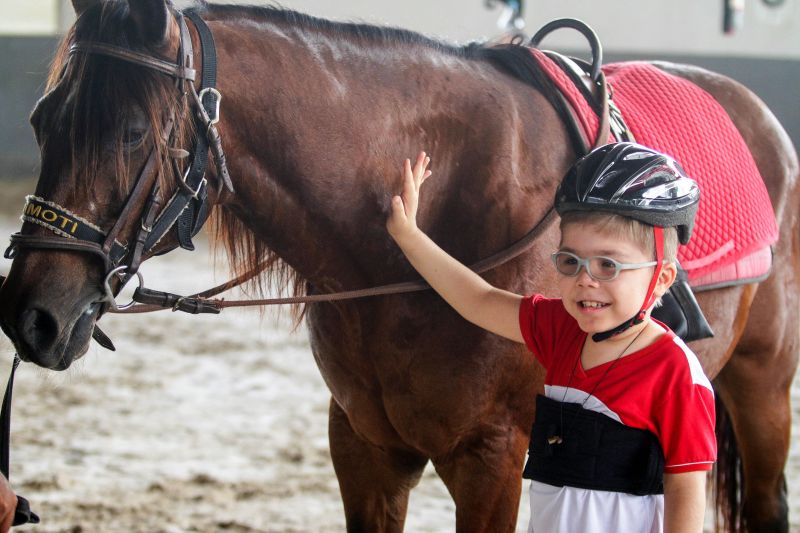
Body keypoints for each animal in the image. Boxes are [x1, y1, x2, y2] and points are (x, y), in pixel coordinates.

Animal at [0, 2, 796, 528]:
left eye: (133, 132)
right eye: (41, 120)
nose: (30, 317)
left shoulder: (491, 461)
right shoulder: (365, 449)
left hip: (763, 387)